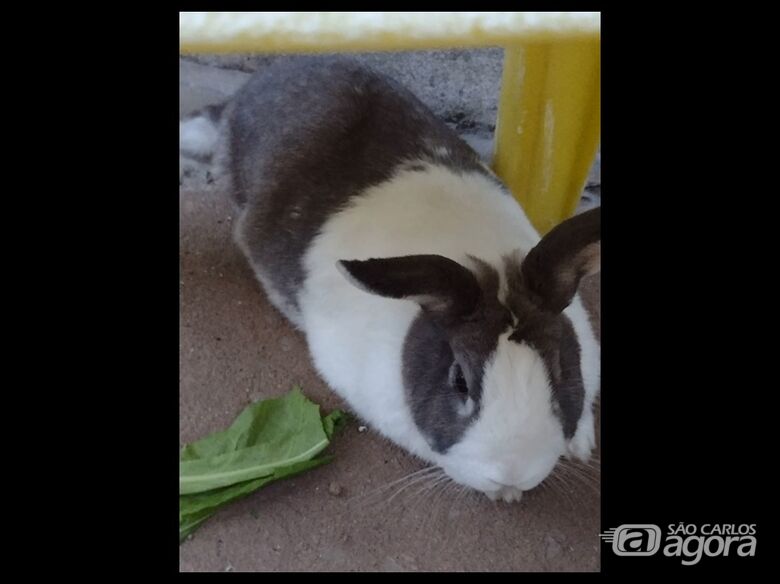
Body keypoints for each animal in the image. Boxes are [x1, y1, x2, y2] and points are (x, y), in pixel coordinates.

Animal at [180, 56, 600, 503]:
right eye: (459, 380)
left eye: (559, 368)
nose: (511, 474)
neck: (487, 264)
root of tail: (244, 96)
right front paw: (506, 495)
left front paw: (578, 446)